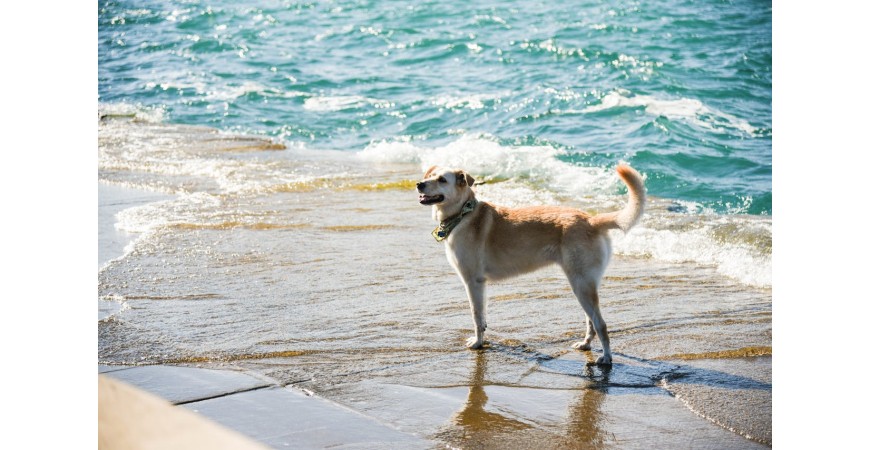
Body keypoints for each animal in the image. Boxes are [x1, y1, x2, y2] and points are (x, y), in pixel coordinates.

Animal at [418, 163, 644, 364]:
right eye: (429, 176)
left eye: (442, 179)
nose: (419, 184)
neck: (464, 214)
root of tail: (591, 220)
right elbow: (482, 317)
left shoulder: (473, 282)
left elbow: (476, 316)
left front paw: (478, 343)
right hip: (584, 285)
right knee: (591, 322)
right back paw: (586, 344)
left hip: (581, 284)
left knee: (601, 324)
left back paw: (606, 357)